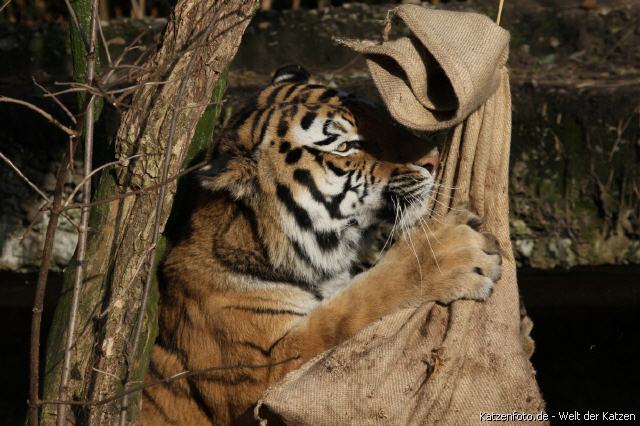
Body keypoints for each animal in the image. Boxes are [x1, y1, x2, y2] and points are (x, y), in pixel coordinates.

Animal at [140, 64, 502, 425]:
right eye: (345, 147)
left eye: (377, 114)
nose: (434, 159)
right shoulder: (260, 374)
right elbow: (352, 308)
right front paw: (453, 250)